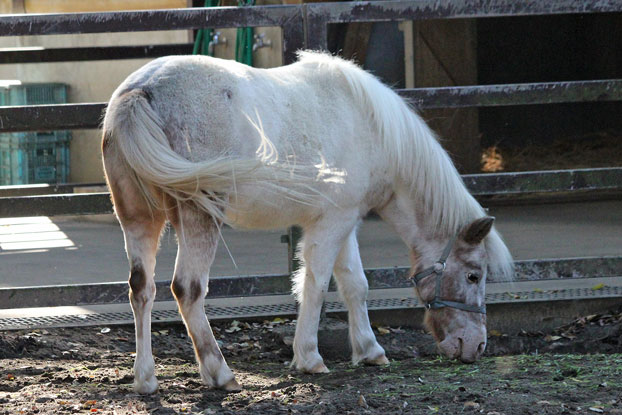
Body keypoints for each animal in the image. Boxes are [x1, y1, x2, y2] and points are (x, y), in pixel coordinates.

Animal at [101, 51, 512, 394]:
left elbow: (355, 284)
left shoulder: (345, 221)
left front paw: (370, 350)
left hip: (138, 220)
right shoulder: (332, 222)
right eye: (474, 275)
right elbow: (316, 284)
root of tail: (140, 91)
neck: (370, 127)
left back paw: (146, 379)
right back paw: (220, 373)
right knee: (187, 289)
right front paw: (309, 357)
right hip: (198, 217)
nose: (476, 345)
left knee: (141, 290)